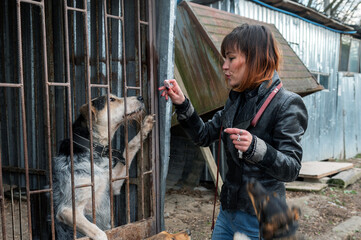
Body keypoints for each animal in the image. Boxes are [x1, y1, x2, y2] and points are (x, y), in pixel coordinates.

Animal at [52, 94, 155, 240]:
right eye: (111, 99)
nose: (140, 97)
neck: (93, 151)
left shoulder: (113, 183)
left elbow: (129, 146)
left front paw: (145, 126)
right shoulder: (68, 210)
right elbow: (99, 232)